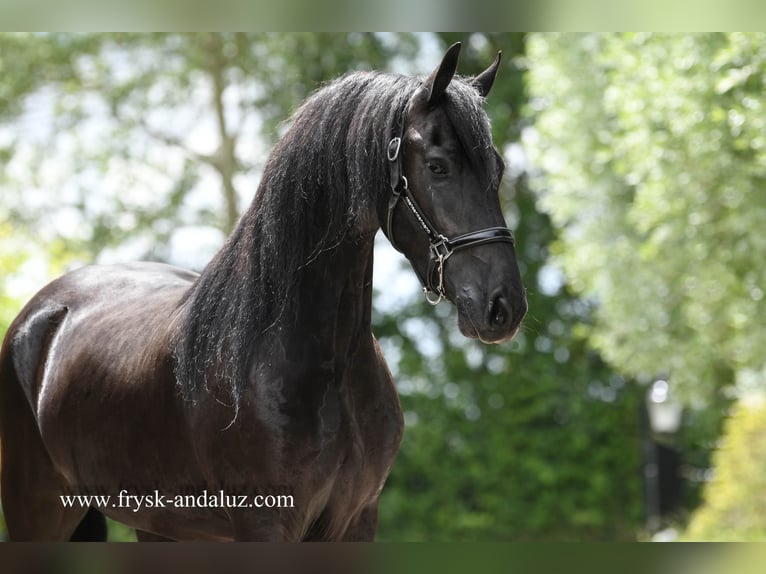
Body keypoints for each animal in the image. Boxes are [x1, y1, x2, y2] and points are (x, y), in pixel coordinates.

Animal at [0, 42, 528, 544]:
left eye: (498, 169)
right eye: (438, 167)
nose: (504, 306)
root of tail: (40, 316)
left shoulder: (357, 521)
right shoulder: (265, 524)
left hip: (161, 525)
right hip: (39, 510)